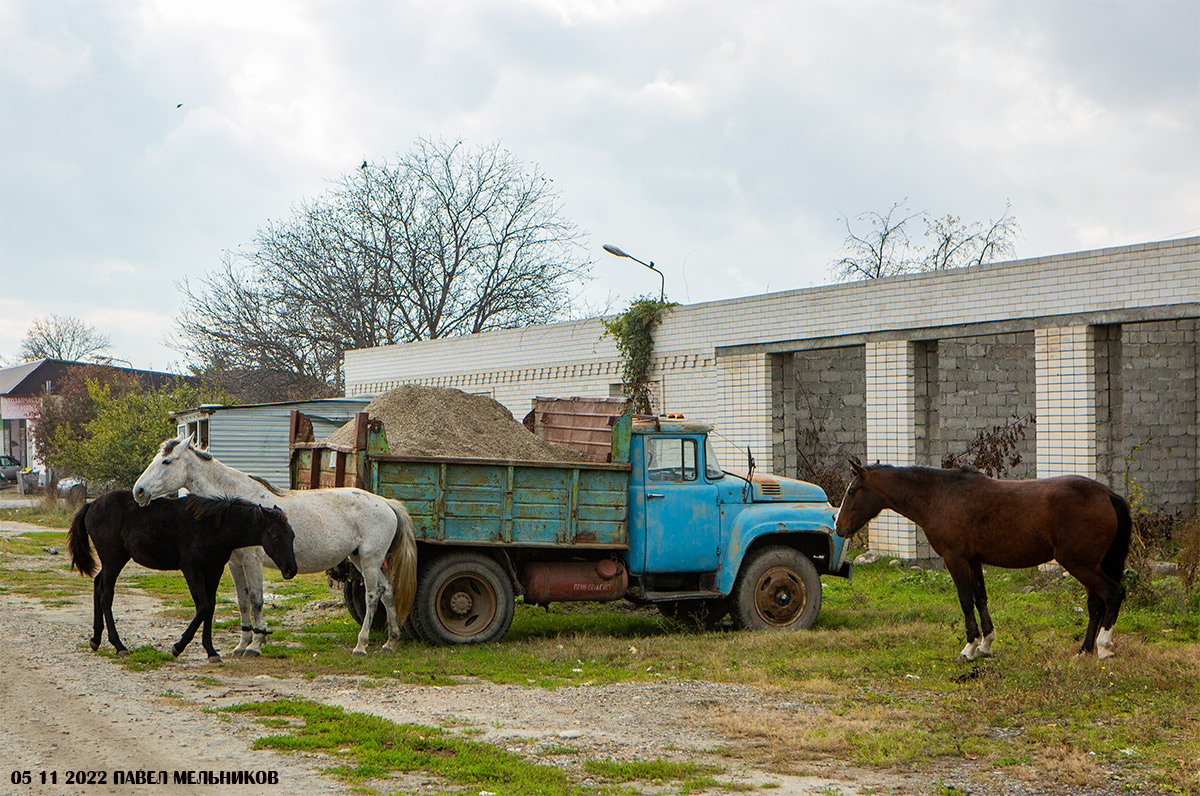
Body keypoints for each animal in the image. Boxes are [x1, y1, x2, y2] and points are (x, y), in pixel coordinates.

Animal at [133, 439, 417, 657]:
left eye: (167, 462)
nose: (139, 491)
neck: (241, 508)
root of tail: (386, 503)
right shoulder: (235, 564)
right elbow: (242, 602)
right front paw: (242, 644)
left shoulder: (252, 562)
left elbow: (257, 600)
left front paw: (256, 645)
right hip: (360, 559)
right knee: (387, 592)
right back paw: (390, 642)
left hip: (370, 561)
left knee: (372, 596)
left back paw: (361, 645)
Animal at [840, 461, 1128, 657]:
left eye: (852, 491)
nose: (839, 526)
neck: (940, 496)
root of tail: (1107, 494)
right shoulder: (973, 560)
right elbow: (981, 599)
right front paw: (987, 644)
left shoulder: (954, 558)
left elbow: (966, 600)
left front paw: (969, 647)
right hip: (1090, 566)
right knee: (1095, 605)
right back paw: (1084, 650)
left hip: (1080, 565)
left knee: (1113, 593)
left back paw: (1103, 647)